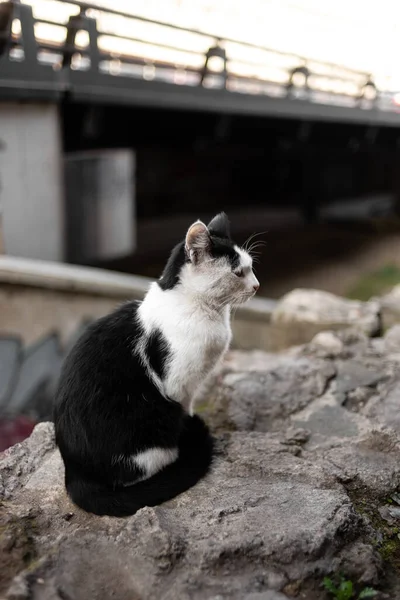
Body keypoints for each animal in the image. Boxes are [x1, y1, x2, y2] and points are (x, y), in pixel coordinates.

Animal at [54, 213, 260, 516]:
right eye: (238, 273)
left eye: (251, 267)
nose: (257, 286)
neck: (202, 310)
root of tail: (75, 472)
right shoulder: (179, 385)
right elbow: (186, 408)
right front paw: (189, 432)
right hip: (153, 420)